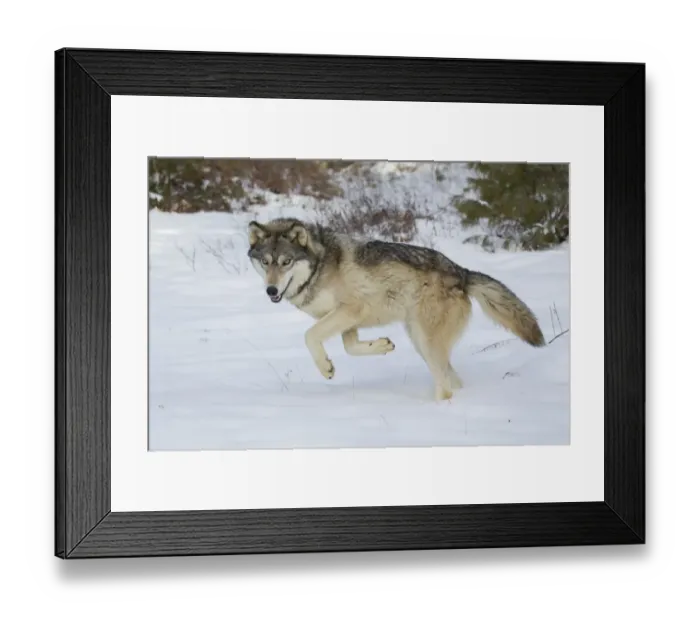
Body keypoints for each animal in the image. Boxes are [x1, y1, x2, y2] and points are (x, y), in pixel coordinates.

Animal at [247, 217, 546, 401]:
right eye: (265, 262)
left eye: (286, 262)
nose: (271, 290)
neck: (319, 266)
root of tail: (462, 272)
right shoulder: (349, 320)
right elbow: (350, 348)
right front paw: (381, 346)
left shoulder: (351, 309)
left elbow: (310, 336)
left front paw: (325, 368)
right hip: (420, 342)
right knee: (454, 380)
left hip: (426, 342)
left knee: (446, 387)